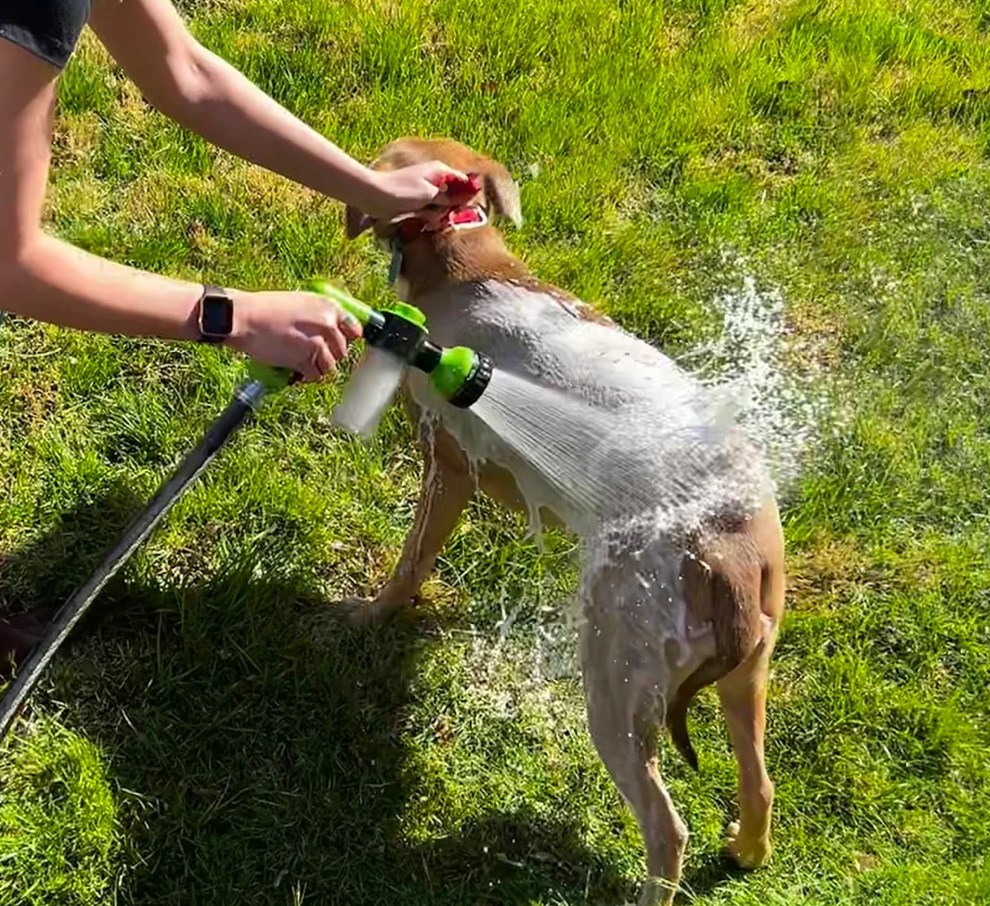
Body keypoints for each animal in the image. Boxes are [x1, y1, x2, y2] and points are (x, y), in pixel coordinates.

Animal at [344, 138, 788, 900]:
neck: (469, 265)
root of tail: (730, 561)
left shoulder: (447, 465)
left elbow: (410, 564)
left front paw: (368, 615)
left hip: (617, 685)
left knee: (666, 828)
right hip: (747, 672)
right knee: (758, 784)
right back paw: (745, 851)